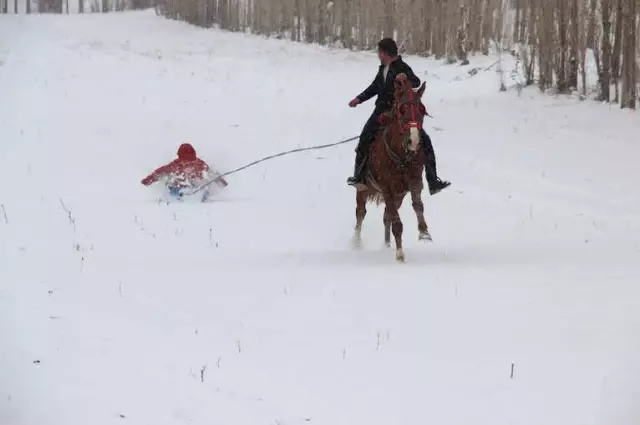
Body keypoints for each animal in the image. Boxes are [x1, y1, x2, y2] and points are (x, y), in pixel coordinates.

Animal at [356, 73, 430, 262]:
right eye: (402, 109)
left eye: (422, 109)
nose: (414, 141)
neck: (401, 155)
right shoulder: (387, 188)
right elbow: (397, 222)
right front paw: (400, 254)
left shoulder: (413, 182)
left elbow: (418, 204)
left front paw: (424, 231)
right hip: (363, 188)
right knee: (360, 212)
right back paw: (356, 242)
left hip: (399, 196)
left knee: (386, 216)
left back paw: (387, 244)